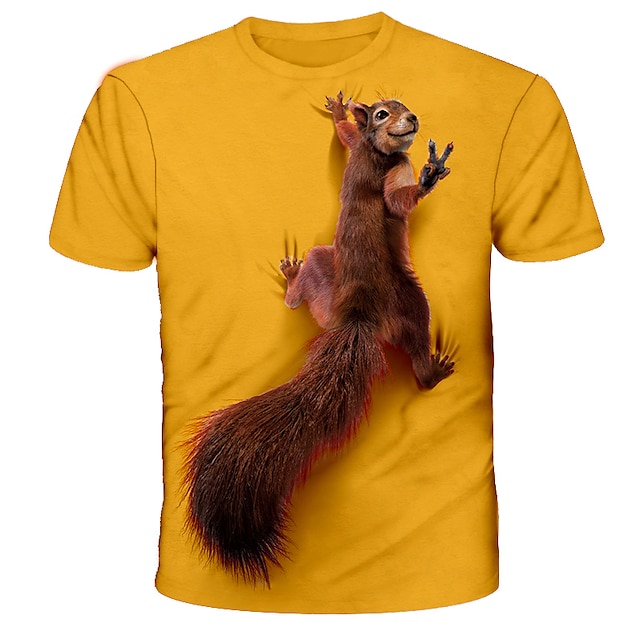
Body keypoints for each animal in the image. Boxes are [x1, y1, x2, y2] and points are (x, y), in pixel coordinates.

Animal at [182, 92, 455, 586]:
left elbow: (345, 137)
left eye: (402, 105)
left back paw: (293, 283)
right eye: (383, 113)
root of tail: (355, 318)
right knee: (417, 351)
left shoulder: (361, 150)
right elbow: (398, 202)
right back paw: (430, 369)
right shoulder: (395, 168)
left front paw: (340, 114)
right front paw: (428, 176)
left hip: (323, 280)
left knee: (304, 300)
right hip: (408, 300)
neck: (376, 151)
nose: (412, 119)